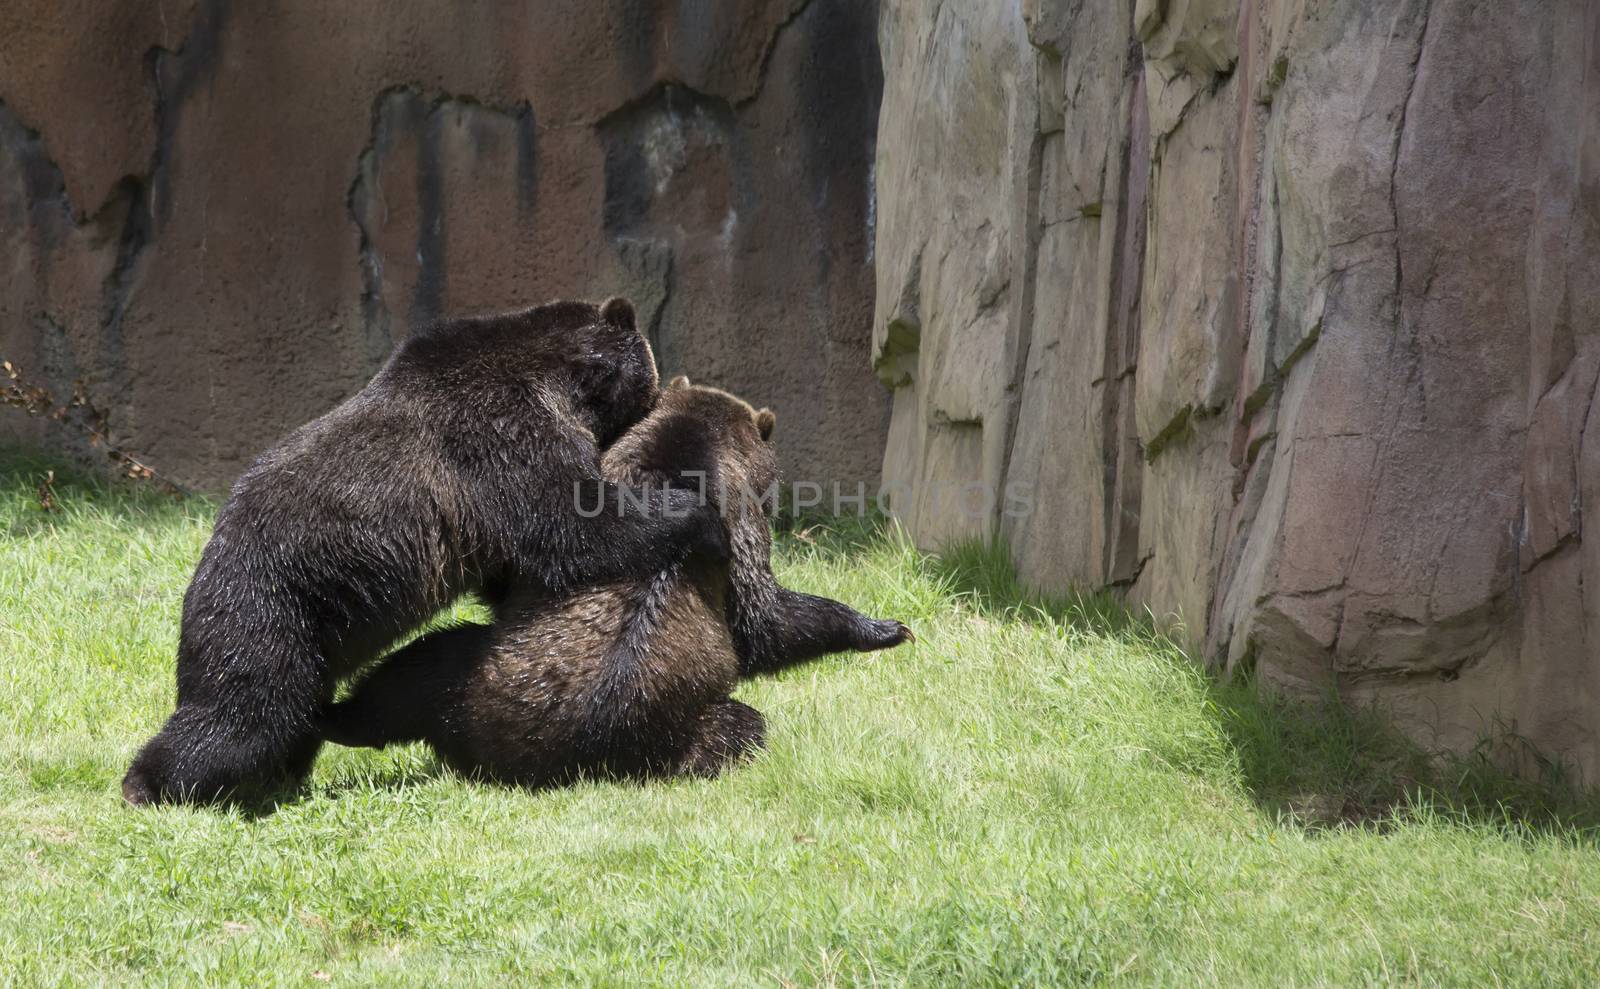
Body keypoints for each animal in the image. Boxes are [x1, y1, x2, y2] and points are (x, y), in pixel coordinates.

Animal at [124, 297, 726, 800]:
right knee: (242, 712)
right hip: (273, 609)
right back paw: (151, 784)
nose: (666, 388)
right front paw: (690, 506)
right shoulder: (499, 433)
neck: (559, 381)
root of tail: (203, 565)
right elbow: (573, 525)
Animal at [324, 372, 915, 780]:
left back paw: (339, 719)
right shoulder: (736, 524)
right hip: (669, 728)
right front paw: (883, 627)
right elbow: (762, 617)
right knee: (743, 727)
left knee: (411, 671)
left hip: (477, 686)